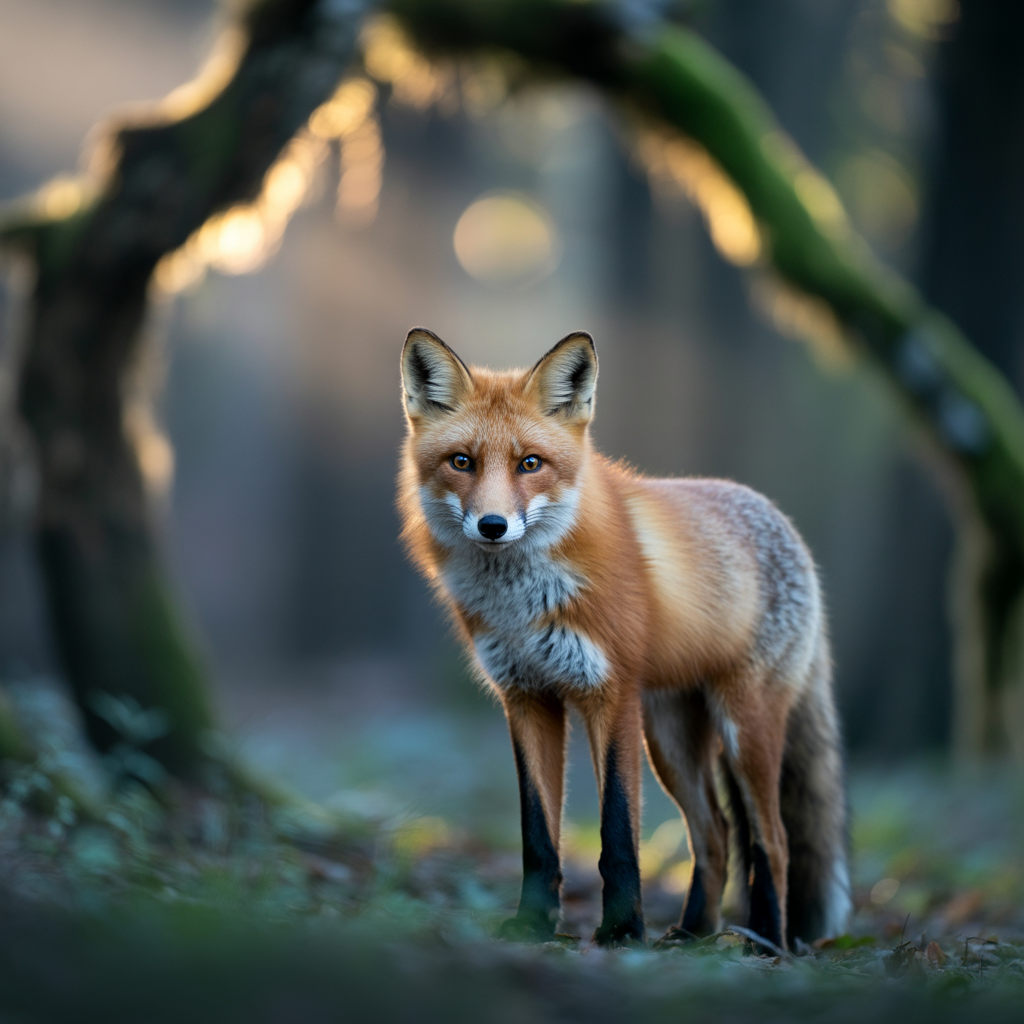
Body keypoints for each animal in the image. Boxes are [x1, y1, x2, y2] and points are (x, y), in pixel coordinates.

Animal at [397, 327, 850, 950]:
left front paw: (622, 930)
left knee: (772, 841)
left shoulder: (610, 693)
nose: (492, 526)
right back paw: (693, 933)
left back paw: (765, 942)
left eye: (530, 463)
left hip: (742, 728)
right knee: (714, 834)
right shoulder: (526, 698)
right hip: (671, 741)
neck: (519, 603)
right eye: (461, 462)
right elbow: (538, 835)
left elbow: (617, 832)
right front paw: (533, 925)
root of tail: (783, 524)